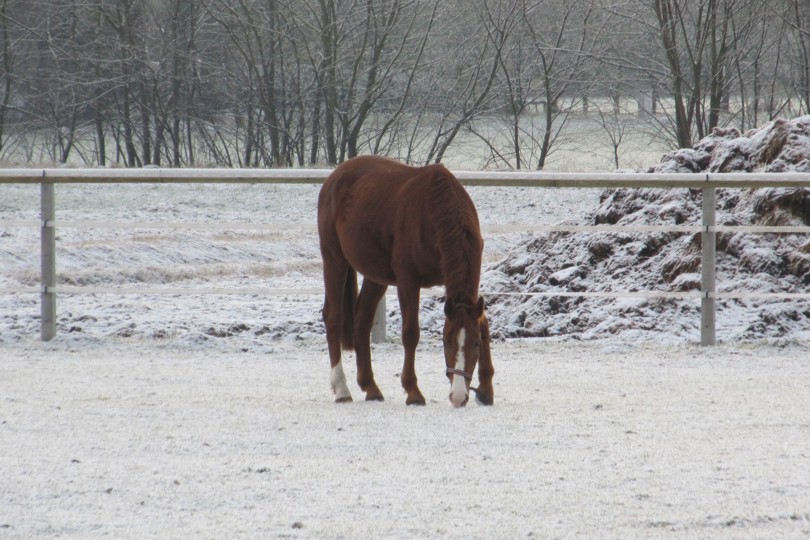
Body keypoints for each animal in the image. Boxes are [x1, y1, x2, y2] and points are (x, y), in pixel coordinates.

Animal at [316, 154, 492, 408]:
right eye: (446, 341)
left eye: (476, 343)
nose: (459, 396)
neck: (434, 210)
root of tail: (335, 177)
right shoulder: (408, 281)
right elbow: (410, 333)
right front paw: (413, 391)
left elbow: (485, 325)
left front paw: (486, 390)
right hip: (334, 259)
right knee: (333, 317)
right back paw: (342, 389)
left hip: (376, 275)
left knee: (362, 320)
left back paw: (370, 387)